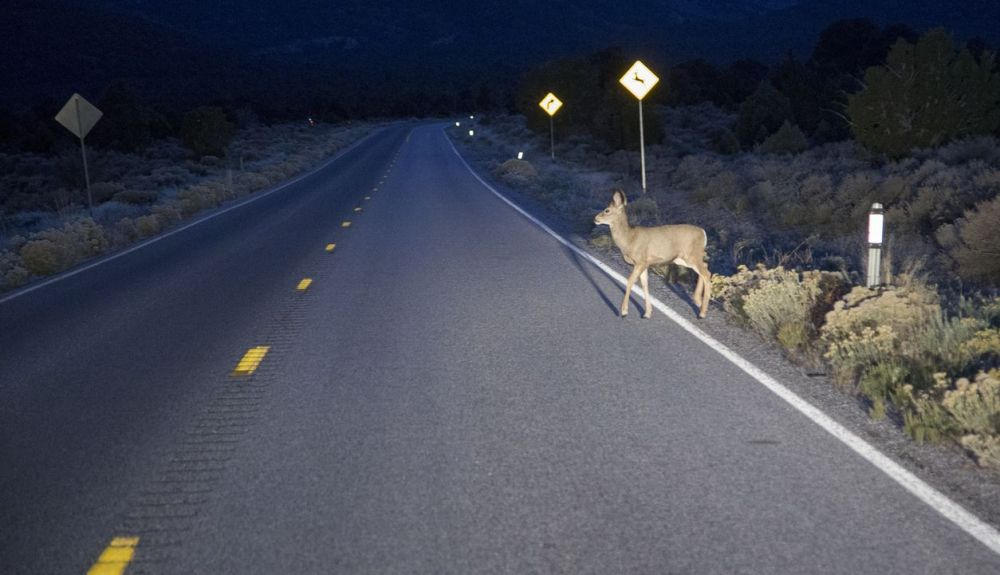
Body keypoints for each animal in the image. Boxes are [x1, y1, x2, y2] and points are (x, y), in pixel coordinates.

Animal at [592, 191, 712, 322]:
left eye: (607, 210)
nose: (595, 219)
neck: (629, 239)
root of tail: (703, 232)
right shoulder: (645, 264)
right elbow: (645, 285)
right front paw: (647, 313)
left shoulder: (640, 261)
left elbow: (629, 281)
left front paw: (624, 312)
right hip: (682, 258)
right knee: (705, 267)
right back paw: (698, 301)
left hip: (692, 255)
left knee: (706, 274)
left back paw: (702, 313)